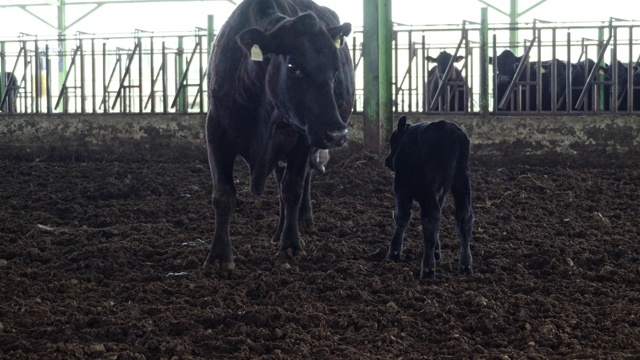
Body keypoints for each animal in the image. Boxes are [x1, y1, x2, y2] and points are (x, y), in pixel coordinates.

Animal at [205, 0, 356, 272]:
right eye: (293, 66)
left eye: (335, 69)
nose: (337, 133)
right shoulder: (216, 133)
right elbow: (223, 195)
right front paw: (220, 256)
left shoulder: (301, 139)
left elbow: (293, 189)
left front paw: (291, 244)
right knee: (279, 182)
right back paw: (278, 231)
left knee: (302, 181)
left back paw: (303, 221)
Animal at [382, 114, 472, 278]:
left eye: (392, 142)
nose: (387, 160)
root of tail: (447, 127)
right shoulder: (440, 194)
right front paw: (437, 252)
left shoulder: (400, 189)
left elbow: (402, 217)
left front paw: (394, 253)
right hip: (462, 180)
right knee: (464, 216)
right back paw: (465, 265)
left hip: (428, 187)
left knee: (431, 216)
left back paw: (428, 269)